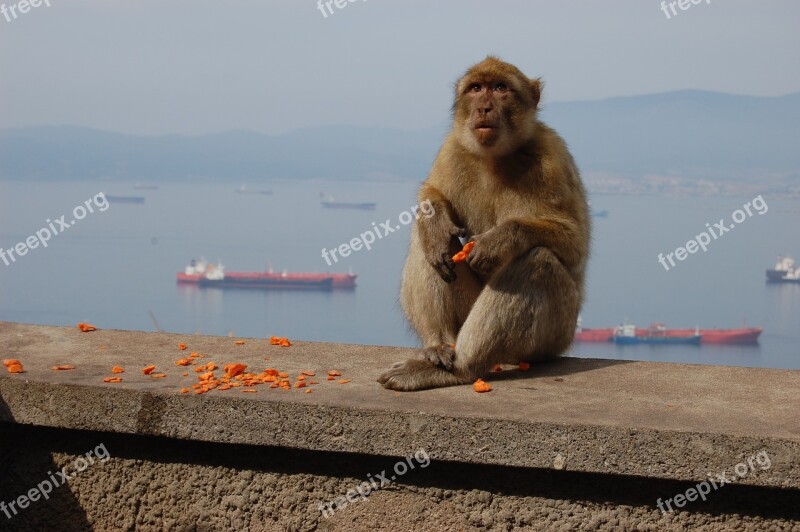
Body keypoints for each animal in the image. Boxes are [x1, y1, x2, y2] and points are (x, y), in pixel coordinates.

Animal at [378, 57, 592, 390]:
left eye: (501, 88)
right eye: (476, 89)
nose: (484, 108)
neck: (495, 157)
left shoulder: (553, 156)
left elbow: (576, 242)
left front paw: (500, 239)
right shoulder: (452, 147)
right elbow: (433, 196)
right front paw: (436, 222)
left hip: (554, 337)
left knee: (538, 261)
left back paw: (461, 369)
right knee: (428, 243)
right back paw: (438, 344)